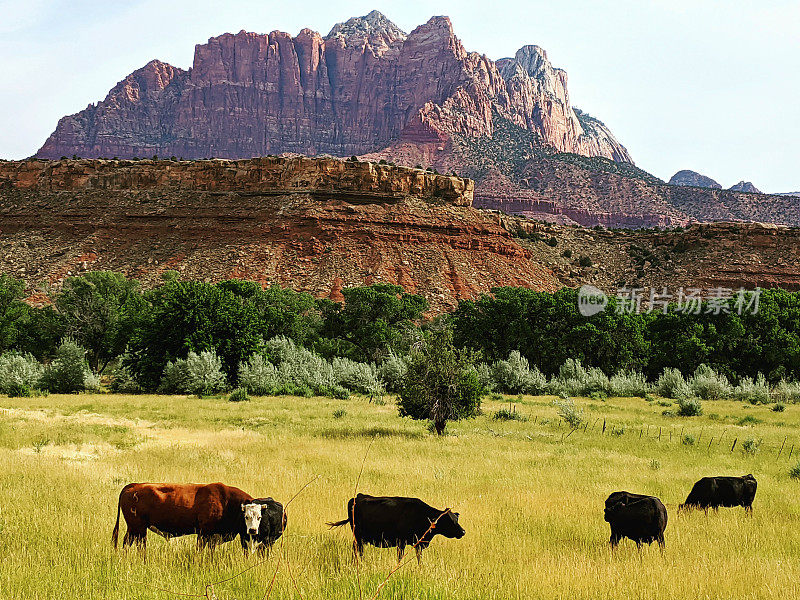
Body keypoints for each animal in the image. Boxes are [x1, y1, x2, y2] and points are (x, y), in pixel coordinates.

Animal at [324, 492, 462, 564]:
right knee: (357, 550)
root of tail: (357, 496)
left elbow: (419, 559)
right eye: (449, 520)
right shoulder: (401, 542)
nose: (463, 531)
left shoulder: (418, 543)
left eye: (456, 519)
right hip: (358, 537)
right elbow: (400, 558)